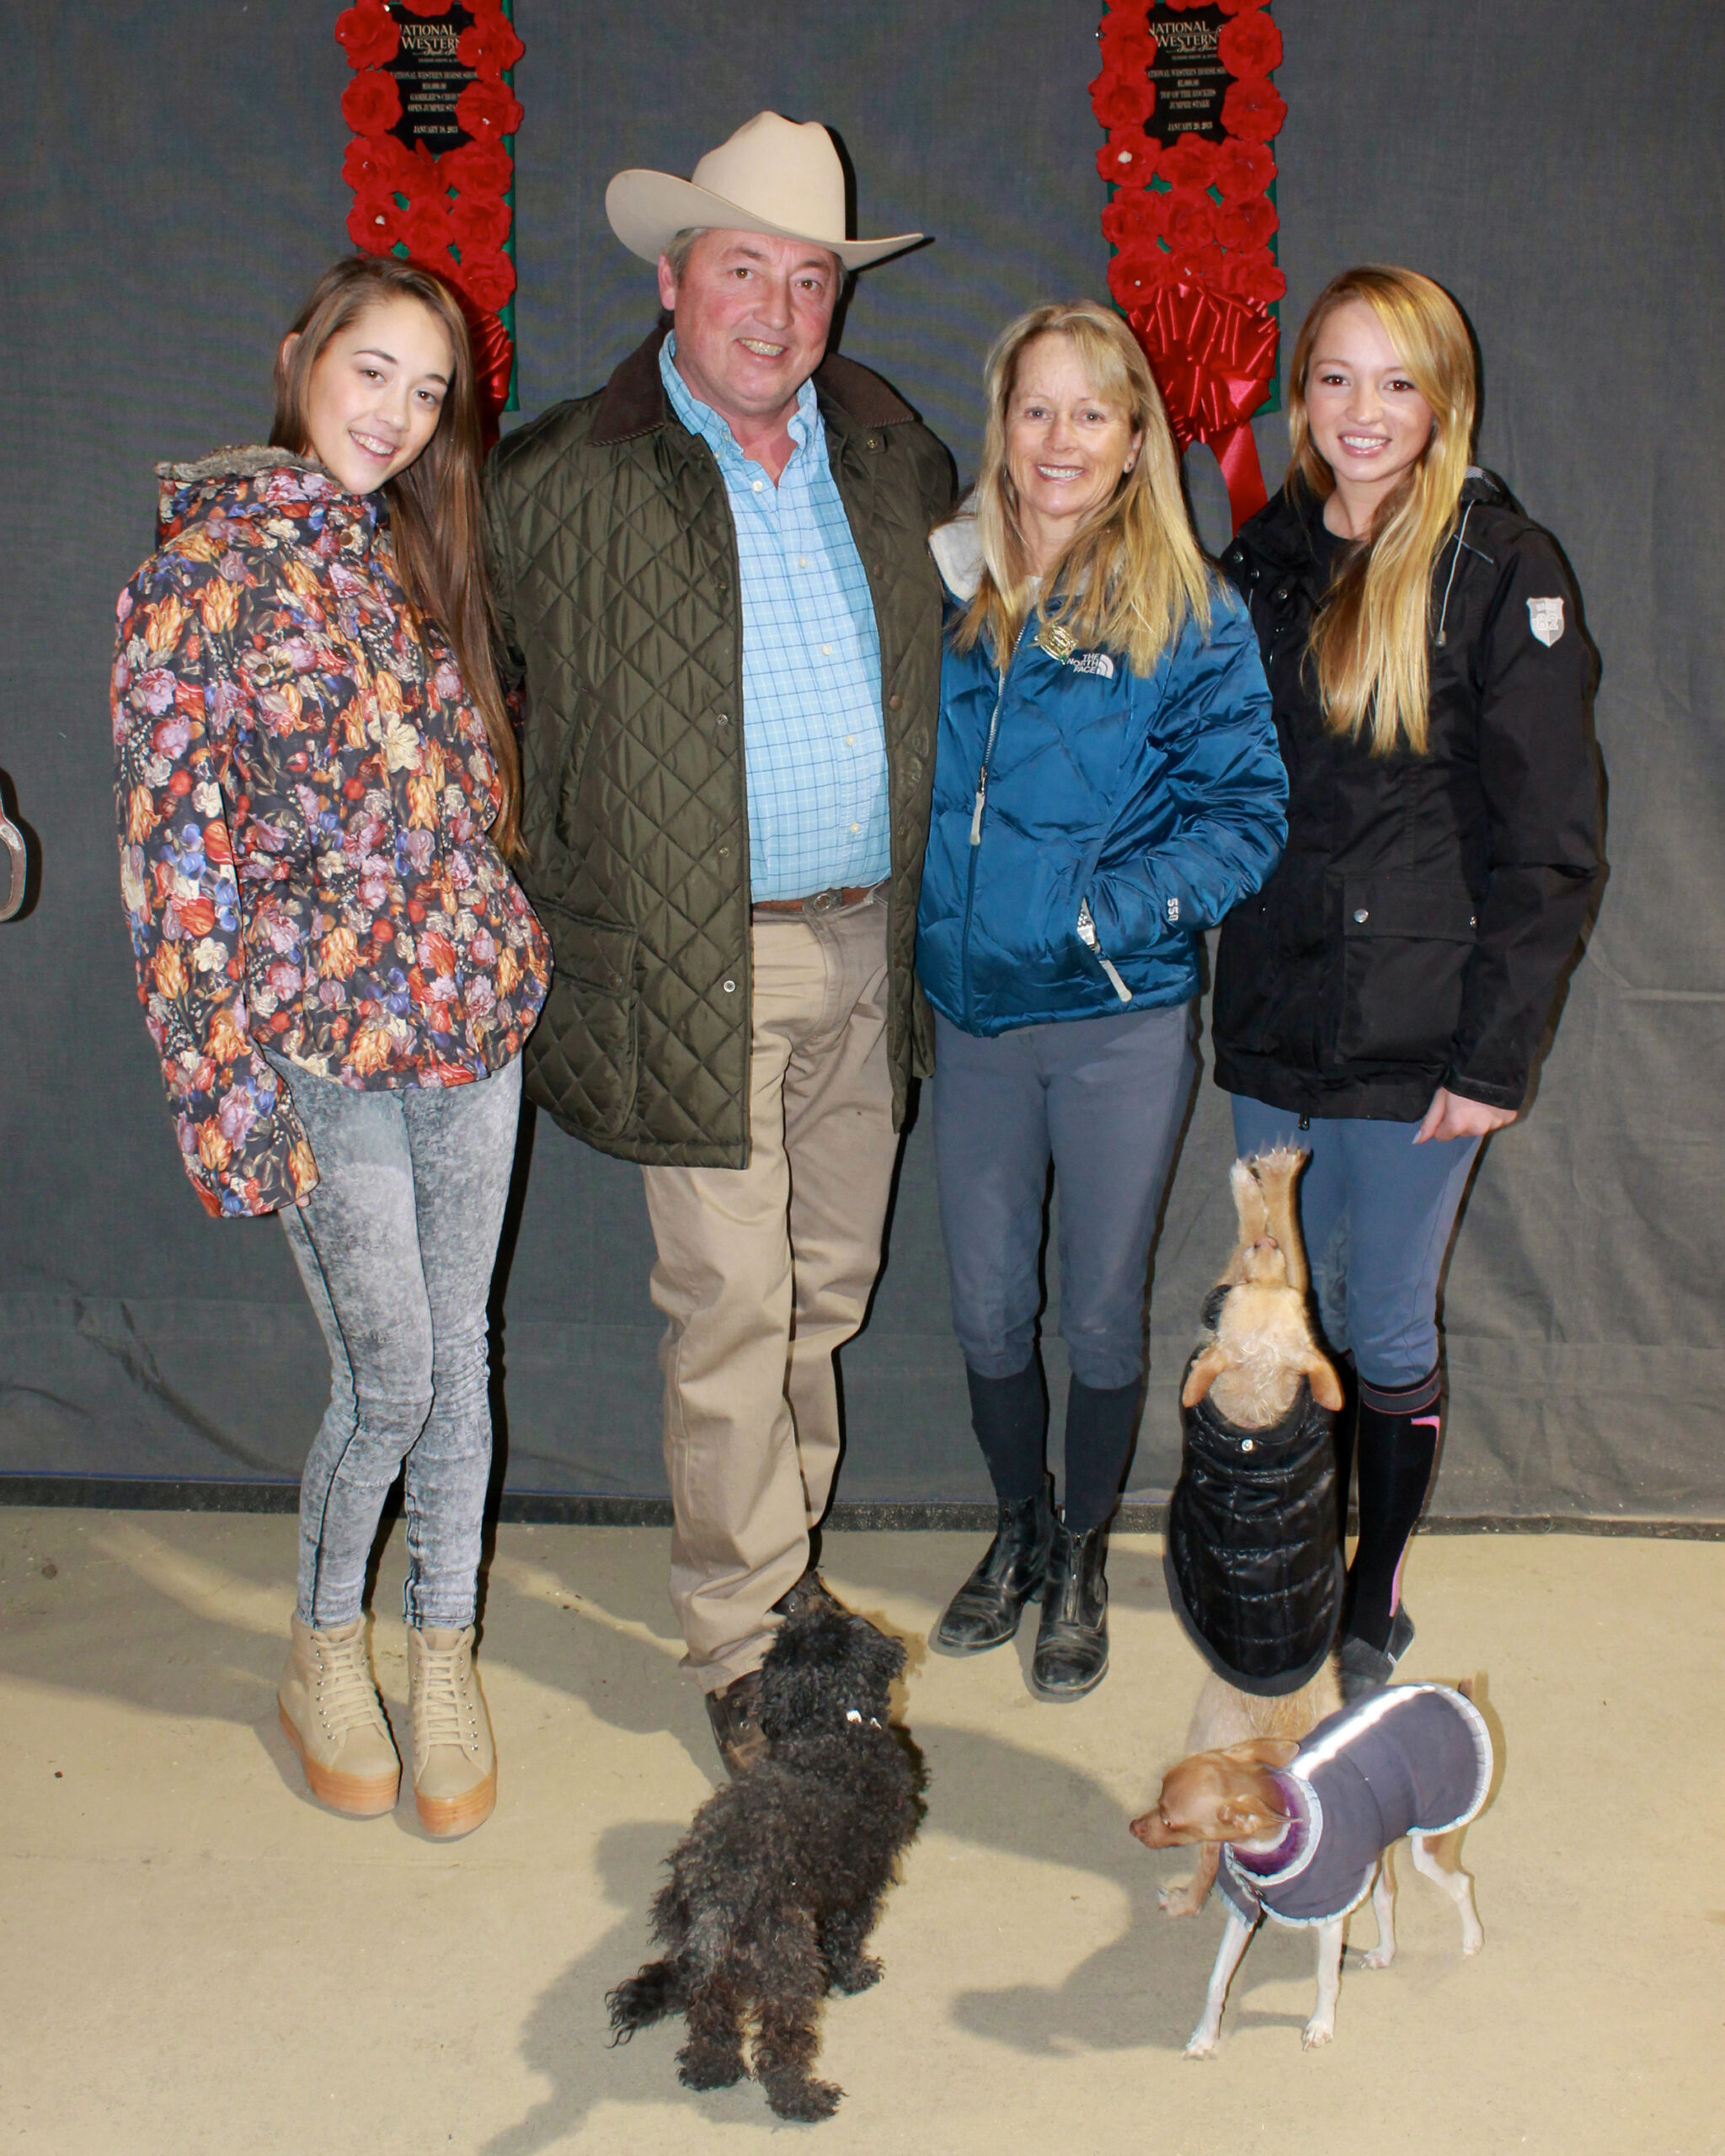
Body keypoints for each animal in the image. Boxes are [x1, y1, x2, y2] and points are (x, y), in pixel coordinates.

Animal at [607, 1601, 920, 2122]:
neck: (833, 1729)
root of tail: (718, 1897)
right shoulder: (859, 1883)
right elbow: (847, 1938)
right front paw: (856, 1975)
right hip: (787, 1968)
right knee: (779, 2049)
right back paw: (804, 2099)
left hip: (713, 1973)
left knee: (709, 2020)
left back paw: (711, 2070)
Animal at [1133, 1680, 1492, 2054]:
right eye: (1158, 1797)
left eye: (1170, 1821)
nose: (1133, 1827)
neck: (1271, 1850)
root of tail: (1450, 1692)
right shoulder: (1243, 1911)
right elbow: (1218, 1979)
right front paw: (1205, 2037)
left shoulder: (1330, 1917)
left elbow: (1327, 1978)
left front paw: (1321, 2025)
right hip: (1379, 1849)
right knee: (1386, 1896)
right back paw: (1385, 1952)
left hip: (1429, 1849)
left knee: (1462, 1883)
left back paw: (1473, 1938)